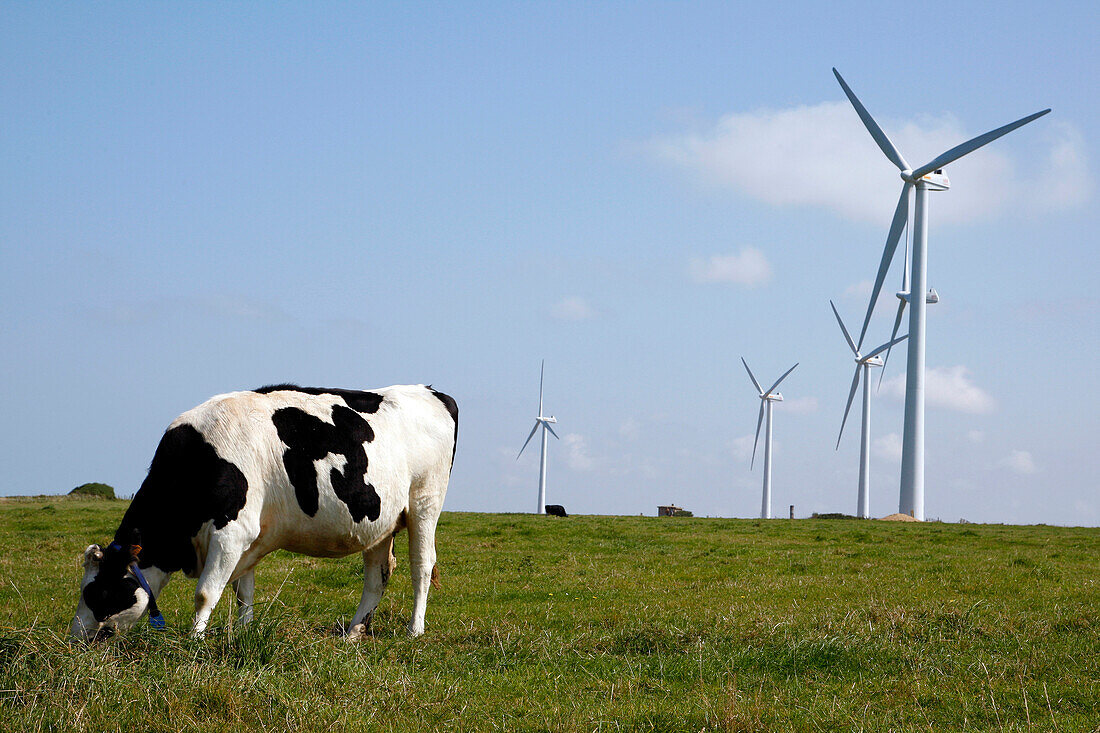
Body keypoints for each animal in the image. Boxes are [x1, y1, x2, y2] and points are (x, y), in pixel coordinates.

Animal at [68, 383, 457, 638]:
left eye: (98, 591)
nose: (75, 638)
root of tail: (430, 390)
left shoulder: (231, 533)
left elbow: (205, 593)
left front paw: (194, 643)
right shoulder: (247, 540)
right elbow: (243, 592)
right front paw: (243, 632)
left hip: (425, 502)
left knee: (422, 565)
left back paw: (414, 630)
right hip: (379, 522)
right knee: (378, 575)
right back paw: (353, 632)